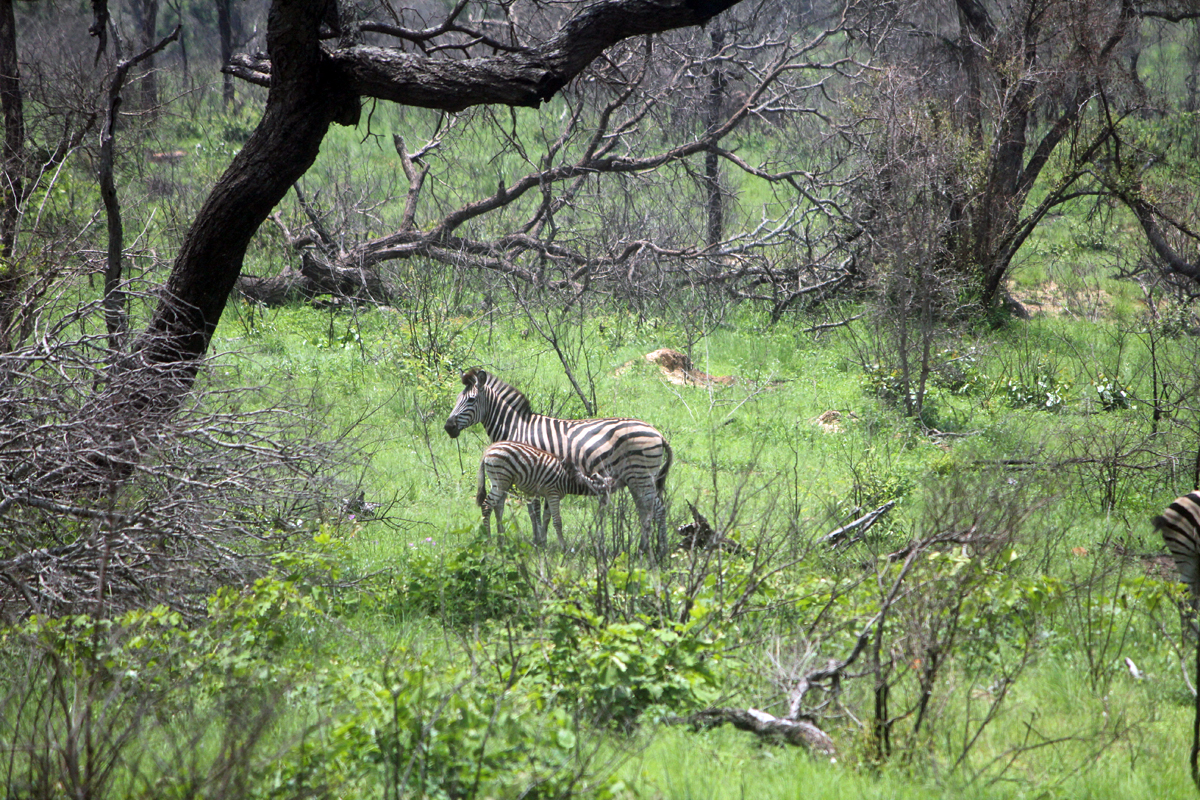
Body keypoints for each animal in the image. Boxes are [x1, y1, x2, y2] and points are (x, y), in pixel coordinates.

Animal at [475, 441, 614, 546]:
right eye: (607, 494)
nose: (607, 510)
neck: (569, 479)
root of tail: (489, 449)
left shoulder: (549, 495)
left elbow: (546, 518)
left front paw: (543, 542)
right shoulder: (553, 494)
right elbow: (557, 521)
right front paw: (563, 546)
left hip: (505, 483)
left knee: (498, 507)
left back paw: (501, 540)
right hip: (500, 481)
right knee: (487, 506)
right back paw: (489, 540)